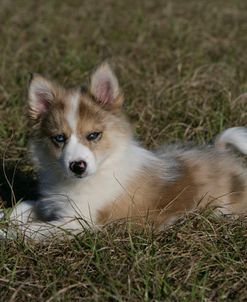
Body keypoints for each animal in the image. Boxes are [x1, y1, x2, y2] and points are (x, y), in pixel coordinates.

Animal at [1, 63, 247, 241]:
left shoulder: (80, 223)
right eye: (59, 138)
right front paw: (6, 217)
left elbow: (33, 229)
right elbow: (24, 205)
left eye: (93, 135)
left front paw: (7, 232)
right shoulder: (54, 202)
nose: (77, 166)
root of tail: (220, 152)